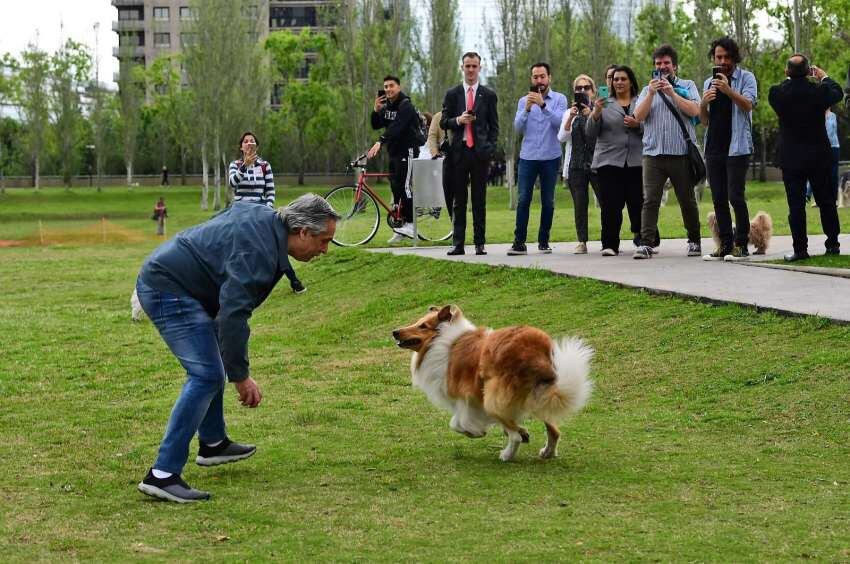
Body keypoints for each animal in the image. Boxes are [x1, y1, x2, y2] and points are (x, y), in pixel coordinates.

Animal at [394, 306, 592, 460]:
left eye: (422, 326)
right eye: (418, 322)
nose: (394, 332)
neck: (440, 339)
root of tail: (535, 353)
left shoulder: (465, 398)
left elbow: (456, 423)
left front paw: (476, 432)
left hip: (492, 397)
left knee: (515, 436)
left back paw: (507, 454)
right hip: (538, 395)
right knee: (554, 430)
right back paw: (547, 452)